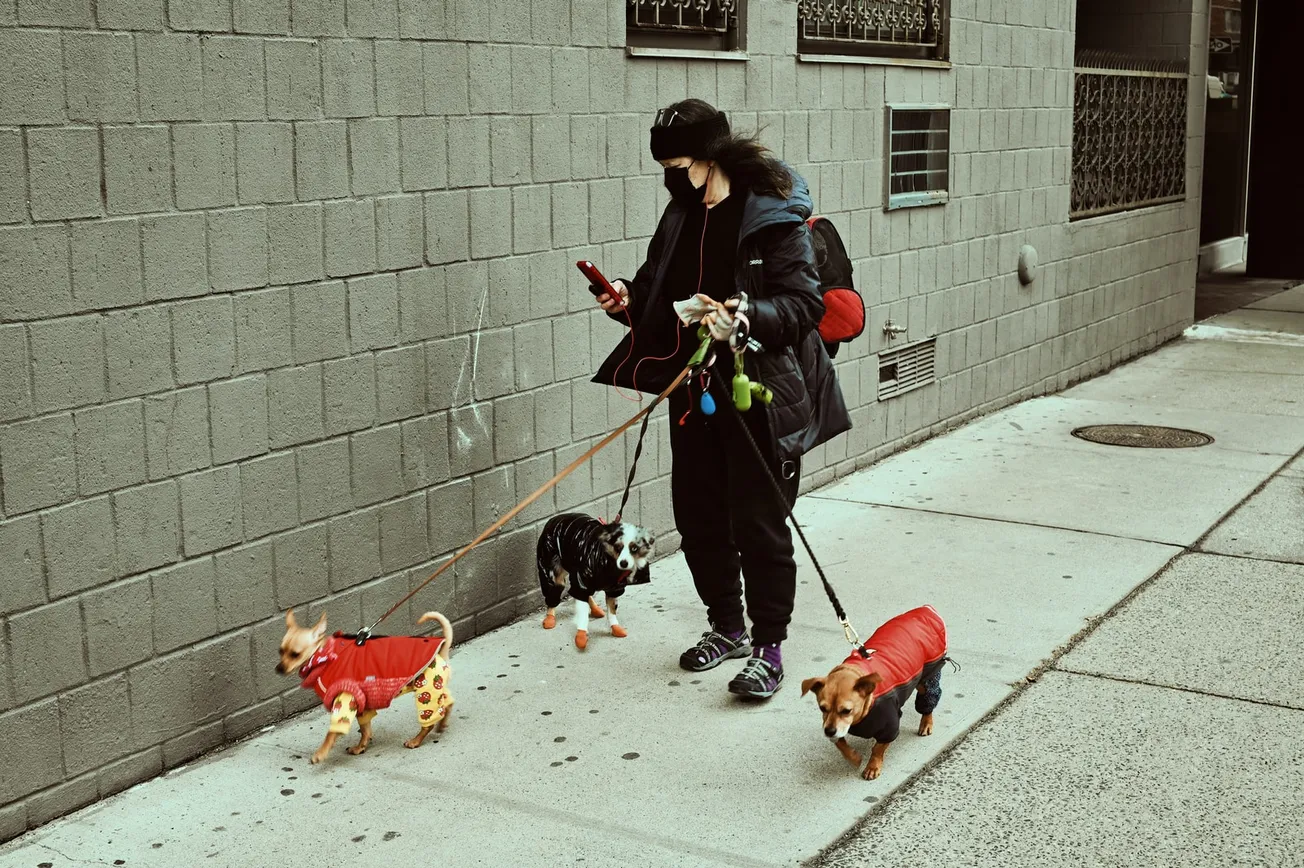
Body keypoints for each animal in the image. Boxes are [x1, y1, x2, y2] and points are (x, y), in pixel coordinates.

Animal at [534, 510, 652, 646]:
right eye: (618, 547)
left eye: (634, 549)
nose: (624, 563)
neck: (608, 563)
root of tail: (554, 518)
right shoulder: (582, 579)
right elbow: (582, 609)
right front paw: (581, 635)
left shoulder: (613, 589)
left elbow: (611, 610)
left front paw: (615, 627)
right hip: (551, 565)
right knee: (555, 589)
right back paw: (550, 617)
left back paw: (595, 609)